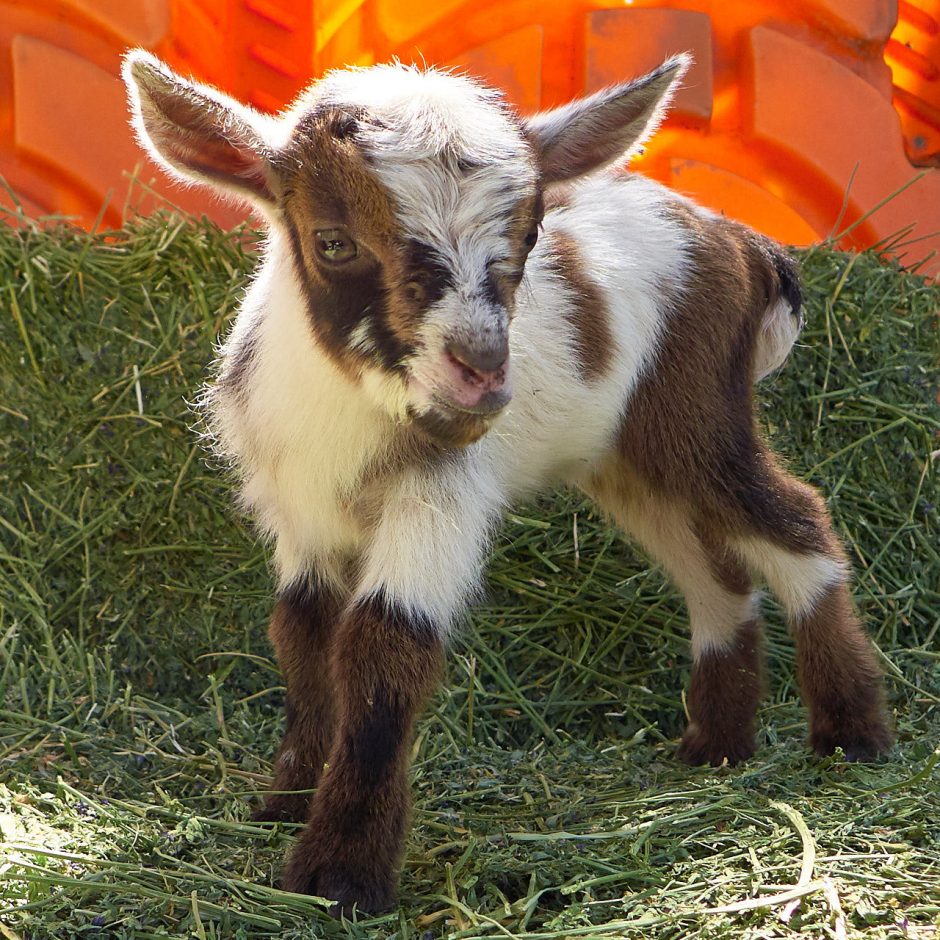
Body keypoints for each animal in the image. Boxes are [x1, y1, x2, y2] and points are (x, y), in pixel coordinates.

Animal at [122, 50, 891, 915]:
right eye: (332, 242)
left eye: (528, 236)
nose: (484, 369)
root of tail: (745, 243)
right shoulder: (303, 519)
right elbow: (302, 636)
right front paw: (283, 802)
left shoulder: (438, 498)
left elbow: (385, 644)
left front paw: (341, 870)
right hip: (630, 463)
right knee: (712, 570)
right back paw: (716, 746)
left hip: (700, 422)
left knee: (797, 521)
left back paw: (852, 734)